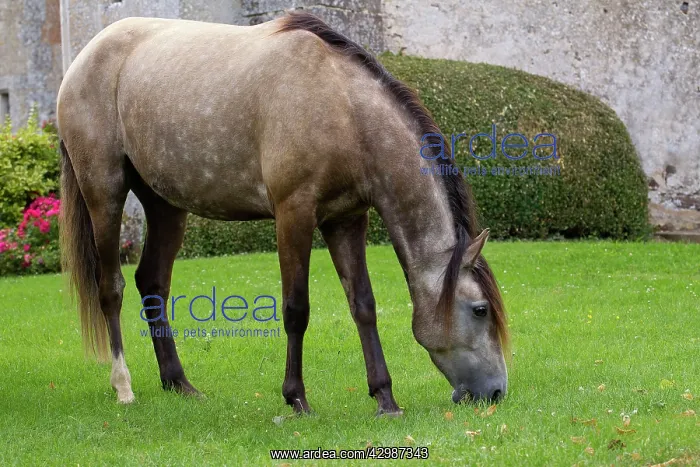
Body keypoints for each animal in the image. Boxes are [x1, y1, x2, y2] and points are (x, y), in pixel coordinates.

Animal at [57, 11, 508, 416]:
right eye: (480, 310)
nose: (497, 392)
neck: (343, 107)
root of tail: (83, 59)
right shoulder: (294, 214)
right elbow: (296, 309)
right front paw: (296, 398)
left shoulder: (346, 219)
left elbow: (363, 304)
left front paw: (385, 398)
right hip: (104, 193)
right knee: (111, 288)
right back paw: (123, 387)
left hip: (165, 206)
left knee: (152, 283)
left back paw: (179, 383)